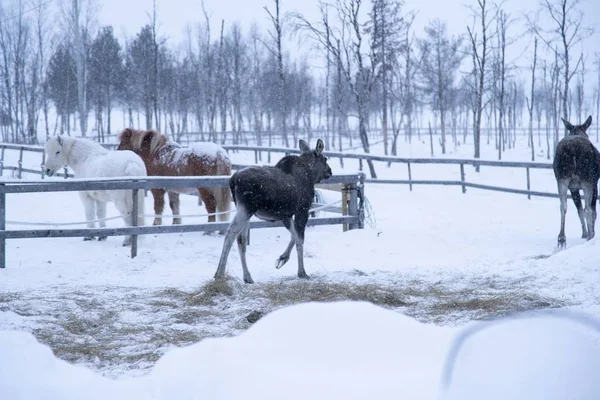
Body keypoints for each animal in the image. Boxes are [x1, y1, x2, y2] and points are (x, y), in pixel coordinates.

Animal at [213, 139, 332, 282]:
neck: (311, 174)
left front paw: (282, 258)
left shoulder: (285, 215)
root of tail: (233, 180)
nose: (330, 171)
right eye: (325, 159)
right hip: (247, 208)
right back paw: (220, 273)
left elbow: (293, 235)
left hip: (243, 209)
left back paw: (247, 277)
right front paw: (302, 272)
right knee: (231, 233)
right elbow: (300, 239)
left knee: (241, 239)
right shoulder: (302, 210)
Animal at [552, 114, 600, 248]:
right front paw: (589, 233)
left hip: (562, 178)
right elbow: (592, 211)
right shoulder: (594, 183)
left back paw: (561, 238)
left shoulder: (573, 188)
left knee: (563, 205)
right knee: (588, 208)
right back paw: (590, 236)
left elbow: (579, 210)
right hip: (586, 179)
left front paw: (584, 233)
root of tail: (572, 149)